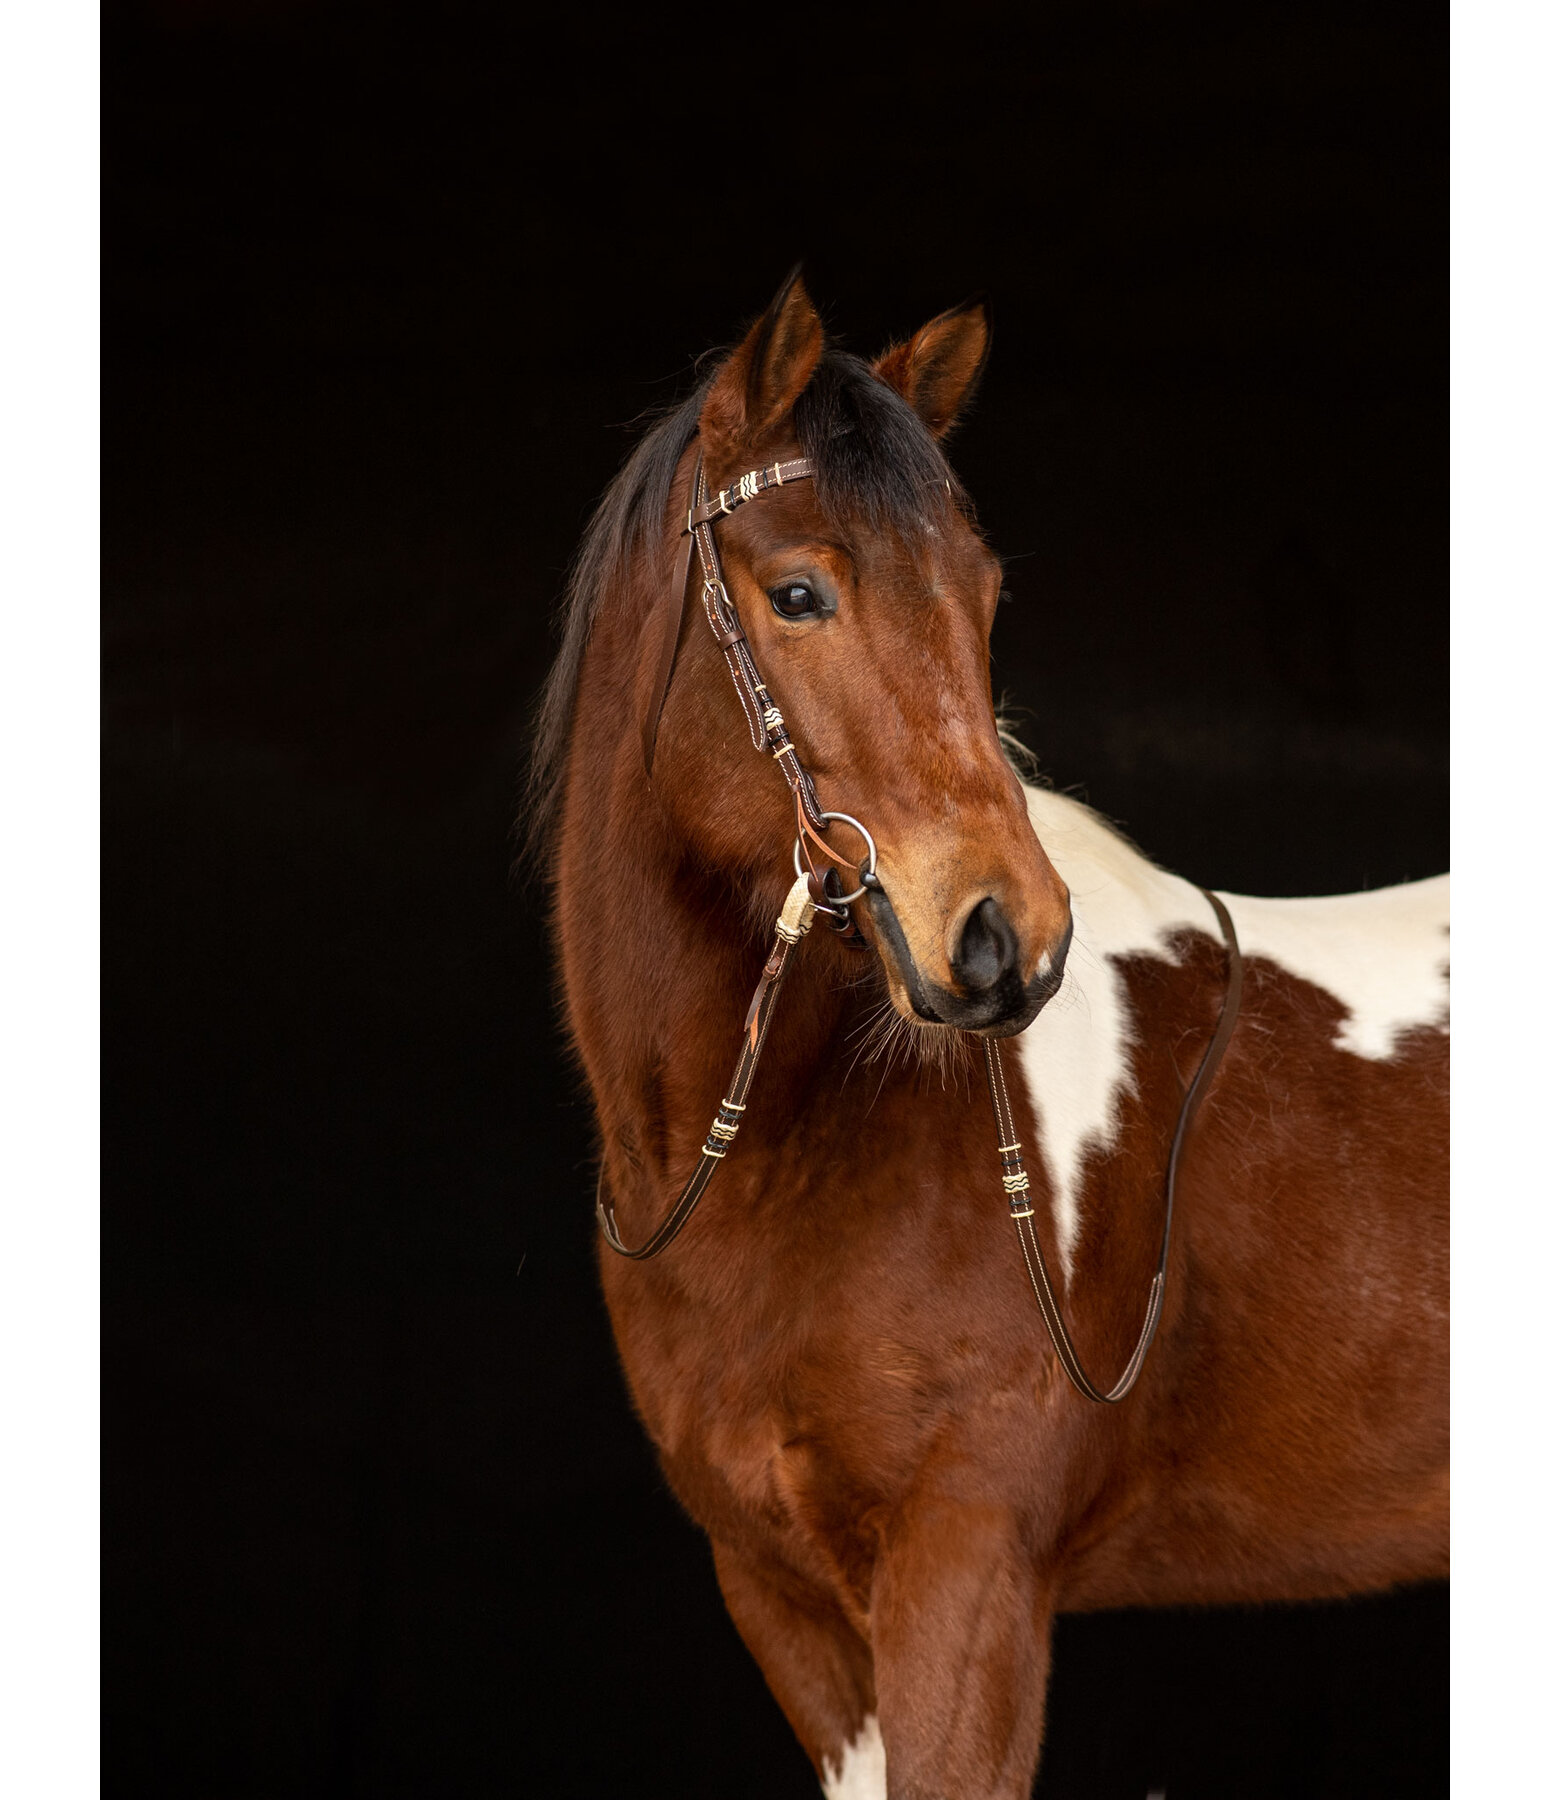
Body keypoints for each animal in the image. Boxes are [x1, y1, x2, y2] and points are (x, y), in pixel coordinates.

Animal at [536, 273, 1454, 1792]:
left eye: (980, 595)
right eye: (797, 593)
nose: (998, 939)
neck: (798, 1162)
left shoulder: (964, 1577)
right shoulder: (786, 1605)